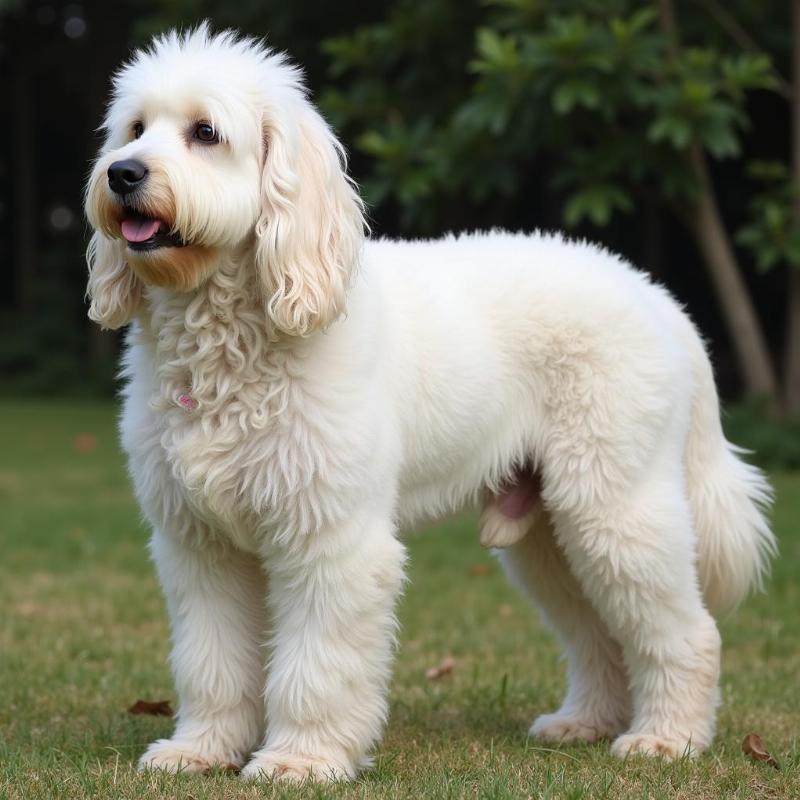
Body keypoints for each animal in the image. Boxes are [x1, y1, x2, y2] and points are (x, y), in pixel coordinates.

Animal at [86, 23, 776, 780]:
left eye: (205, 132)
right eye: (135, 129)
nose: (122, 174)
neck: (233, 343)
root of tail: (656, 296)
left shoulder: (333, 539)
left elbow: (318, 664)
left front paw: (301, 758)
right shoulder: (198, 545)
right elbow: (211, 660)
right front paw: (201, 749)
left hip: (617, 508)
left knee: (687, 630)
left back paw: (666, 739)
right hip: (549, 537)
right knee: (598, 632)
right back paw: (586, 723)